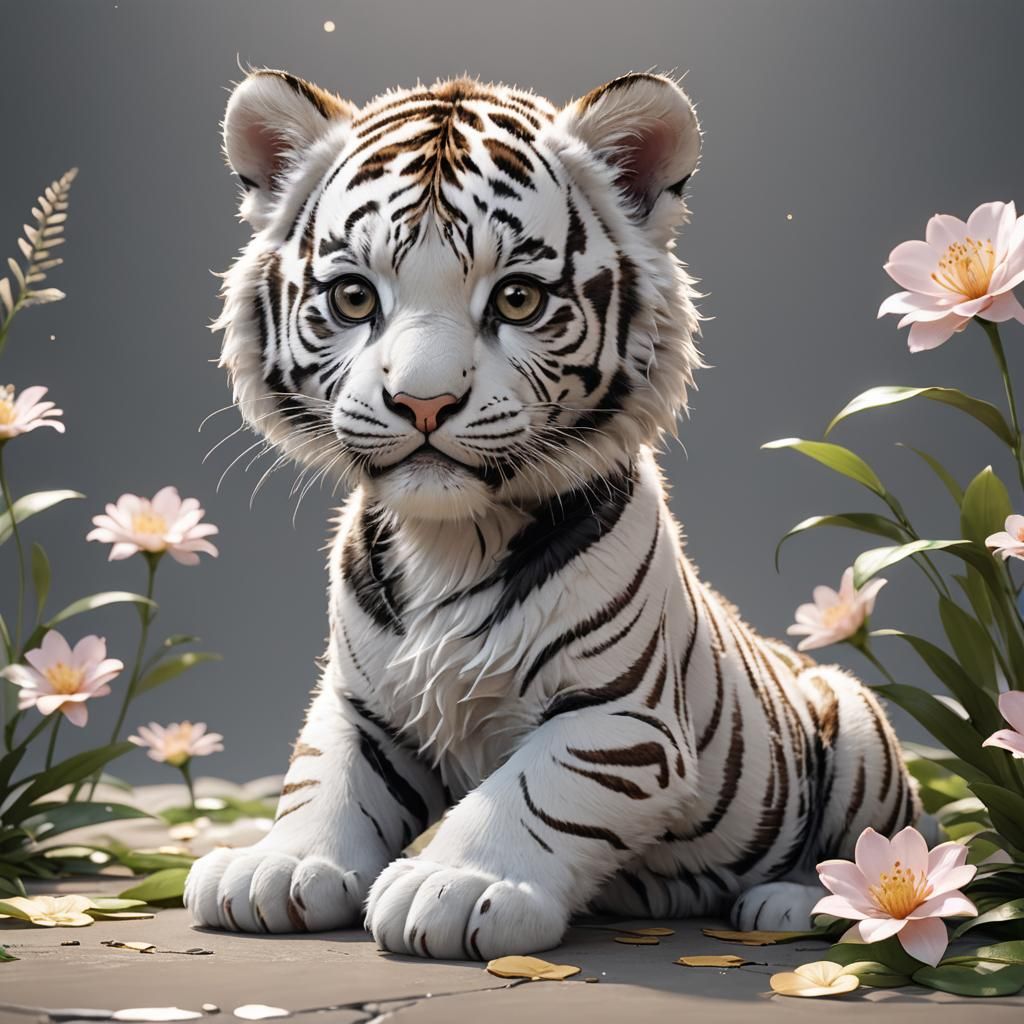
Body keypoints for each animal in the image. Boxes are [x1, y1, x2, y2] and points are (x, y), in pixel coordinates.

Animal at [184, 68, 919, 958]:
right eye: (355, 296)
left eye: (518, 299)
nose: (422, 402)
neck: (450, 536)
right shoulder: (362, 704)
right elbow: (322, 775)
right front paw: (278, 866)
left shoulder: (622, 718)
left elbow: (531, 789)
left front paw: (453, 885)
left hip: (857, 726)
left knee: (879, 848)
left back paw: (797, 901)